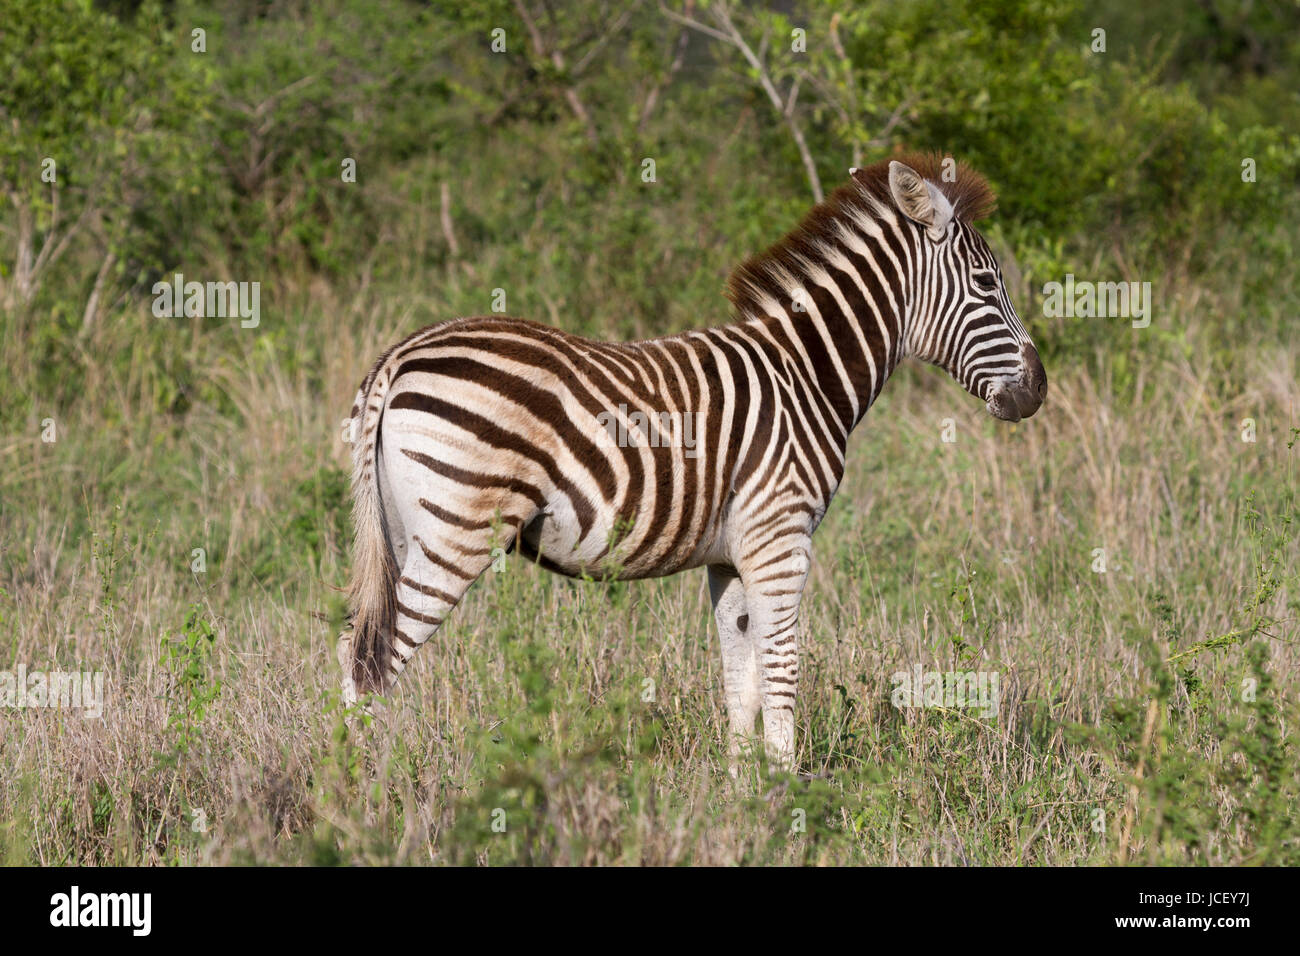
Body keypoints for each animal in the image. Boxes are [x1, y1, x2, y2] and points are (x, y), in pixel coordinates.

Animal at [338, 153, 1045, 775]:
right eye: (988, 284)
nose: (1037, 390)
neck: (806, 374)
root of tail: (400, 355)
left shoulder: (731, 555)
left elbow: (741, 679)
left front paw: (740, 794)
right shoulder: (781, 538)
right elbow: (782, 668)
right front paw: (790, 796)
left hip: (402, 531)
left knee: (354, 647)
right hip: (456, 531)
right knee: (374, 664)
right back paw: (374, 793)